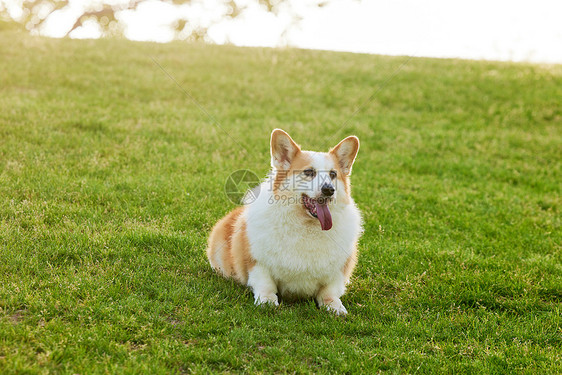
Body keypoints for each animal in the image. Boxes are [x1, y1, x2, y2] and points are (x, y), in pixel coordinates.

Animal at [208, 131, 360, 316]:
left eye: (333, 174)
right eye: (309, 172)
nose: (329, 190)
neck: (307, 226)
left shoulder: (337, 272)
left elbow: (329, 291)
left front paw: (335, 307)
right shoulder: (258, 264)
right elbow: (266, 284)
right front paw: (267, 301)